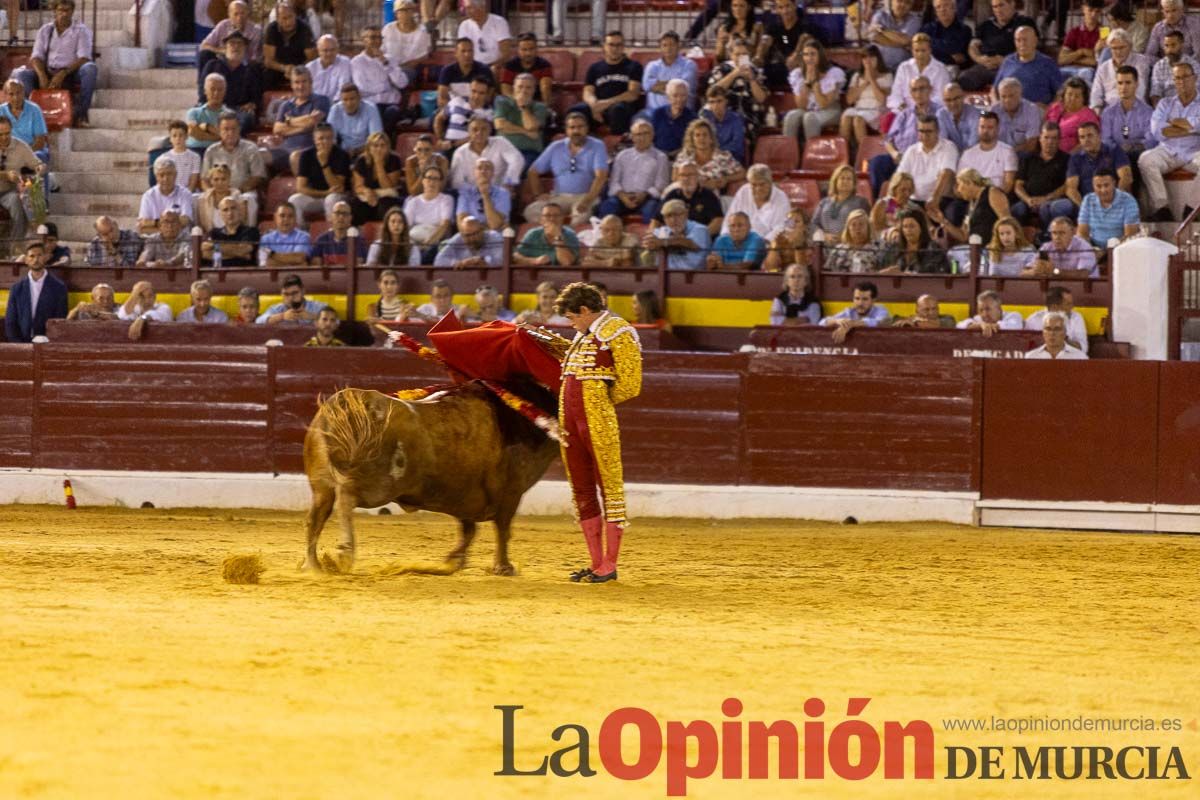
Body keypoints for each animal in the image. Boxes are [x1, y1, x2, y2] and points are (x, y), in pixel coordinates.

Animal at [302, 381, 559, 575]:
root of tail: (345, 405)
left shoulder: (466, 498)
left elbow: (469, 530)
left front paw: (454, 560)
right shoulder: (511, 492)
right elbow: (503, 528)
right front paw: (503, 567)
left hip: (321, 485)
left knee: (316, 516)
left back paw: (312, 565)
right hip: (377, 485)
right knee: (345, 498)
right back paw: (345, 553)